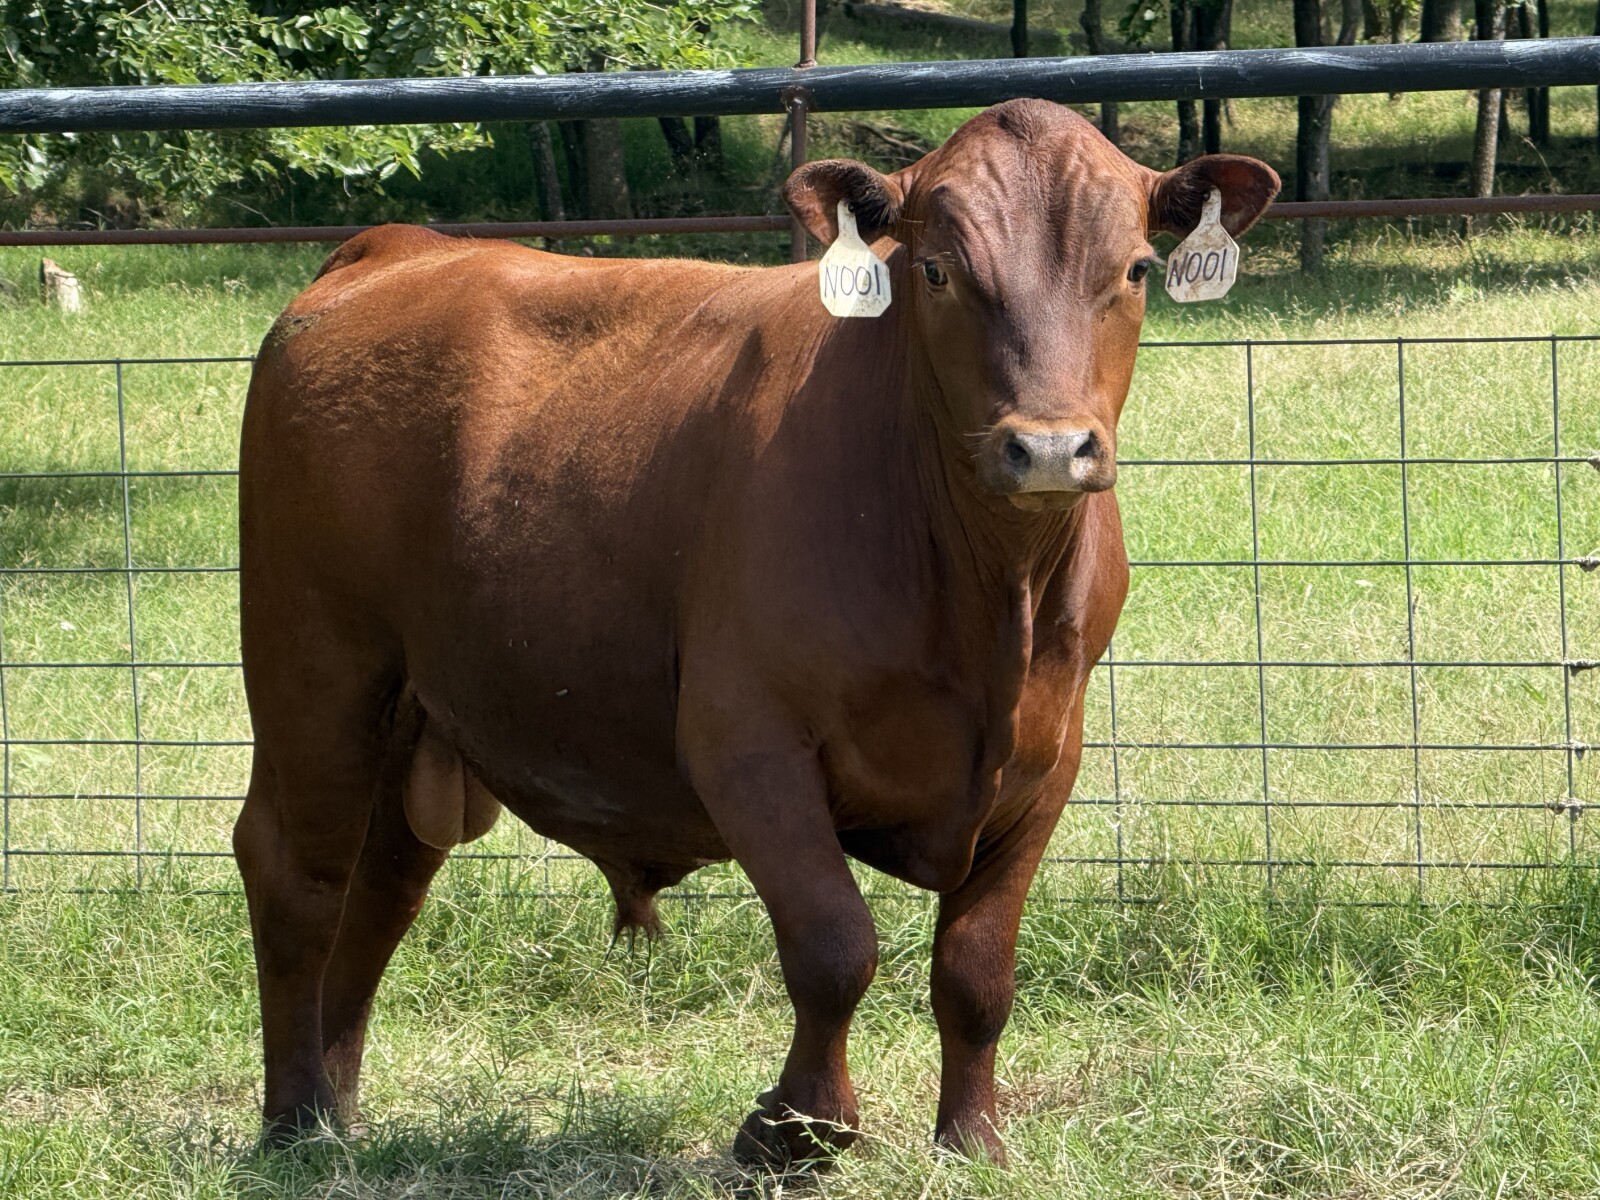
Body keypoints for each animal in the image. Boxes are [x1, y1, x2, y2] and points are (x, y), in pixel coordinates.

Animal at [234, 98, 1278, 1165]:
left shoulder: (1046, 753)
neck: (989, 594)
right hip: (313, 666)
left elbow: (978, 968)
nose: (1050, 448)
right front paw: (796, 1128)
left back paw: (337, 1112)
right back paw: (291, 1118)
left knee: (384, 884)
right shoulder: (744, 740)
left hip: (415, 710)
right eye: (935, 270)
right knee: (297, 871)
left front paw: (972, 1139)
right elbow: (833, 945)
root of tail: (398, 247)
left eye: (1136, 270)